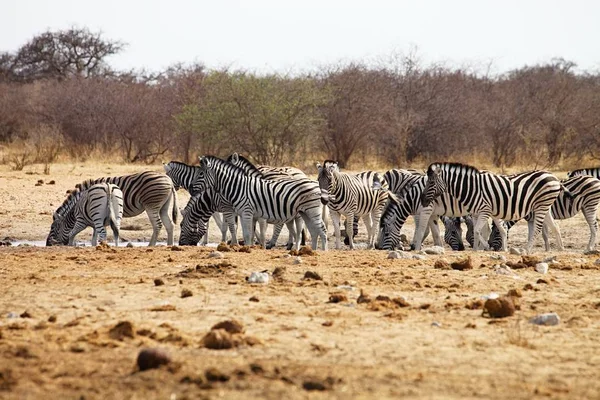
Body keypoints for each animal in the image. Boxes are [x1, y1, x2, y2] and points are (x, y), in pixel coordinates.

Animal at [196, 155, 328, 250]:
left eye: (201, 174)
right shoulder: (251, 214)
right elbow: (249, 231)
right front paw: (250, 245)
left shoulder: (257, 215)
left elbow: (257, 233)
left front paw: (258, 246)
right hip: (301, 214)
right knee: (304, 230)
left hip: (305, 213)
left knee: (308, 230)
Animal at [420, 161, 564, 252]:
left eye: (431, 182)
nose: (422, 200)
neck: (471, 188)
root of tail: (553, 176)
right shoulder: (477, 213)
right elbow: (479, 230)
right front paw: (476, 249)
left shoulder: (485, 211)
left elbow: (479, 231)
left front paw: (486, 248)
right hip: (545, 207)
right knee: (555, 226)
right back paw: (561, 249)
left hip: (541, 206)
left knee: (538, 228)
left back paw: (527, 250)